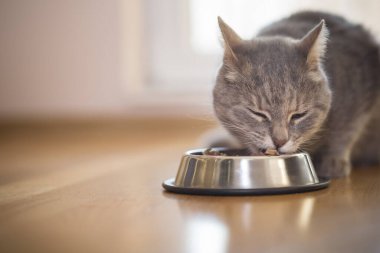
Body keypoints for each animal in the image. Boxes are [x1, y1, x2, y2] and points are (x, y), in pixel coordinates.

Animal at [212, 11, 378, 178]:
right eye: (257, 113)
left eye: (299, 115)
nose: (279, 142)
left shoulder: (362, 90)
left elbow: (346, 131)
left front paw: (333, 161)